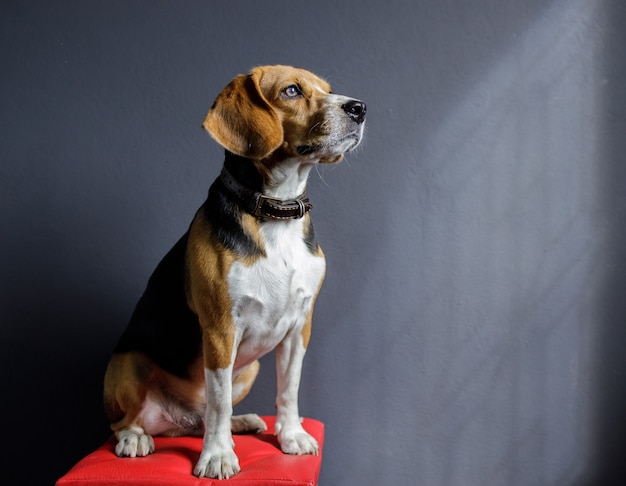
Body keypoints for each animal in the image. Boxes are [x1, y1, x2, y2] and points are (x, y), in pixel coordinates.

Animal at [102, 64, 366, 478]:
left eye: (328, 89)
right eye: (292, 91)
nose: (359, 108)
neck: (275, 211)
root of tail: (176, 417)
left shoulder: (300, 327)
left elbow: (288, 388)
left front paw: (290, 435)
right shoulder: (220, 329)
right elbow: (219, 400)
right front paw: (218, 456)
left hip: (250, 367)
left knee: (200, 418)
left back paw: (240, 423)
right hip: (129, 363)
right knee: (132, 421)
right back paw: (135, 438)